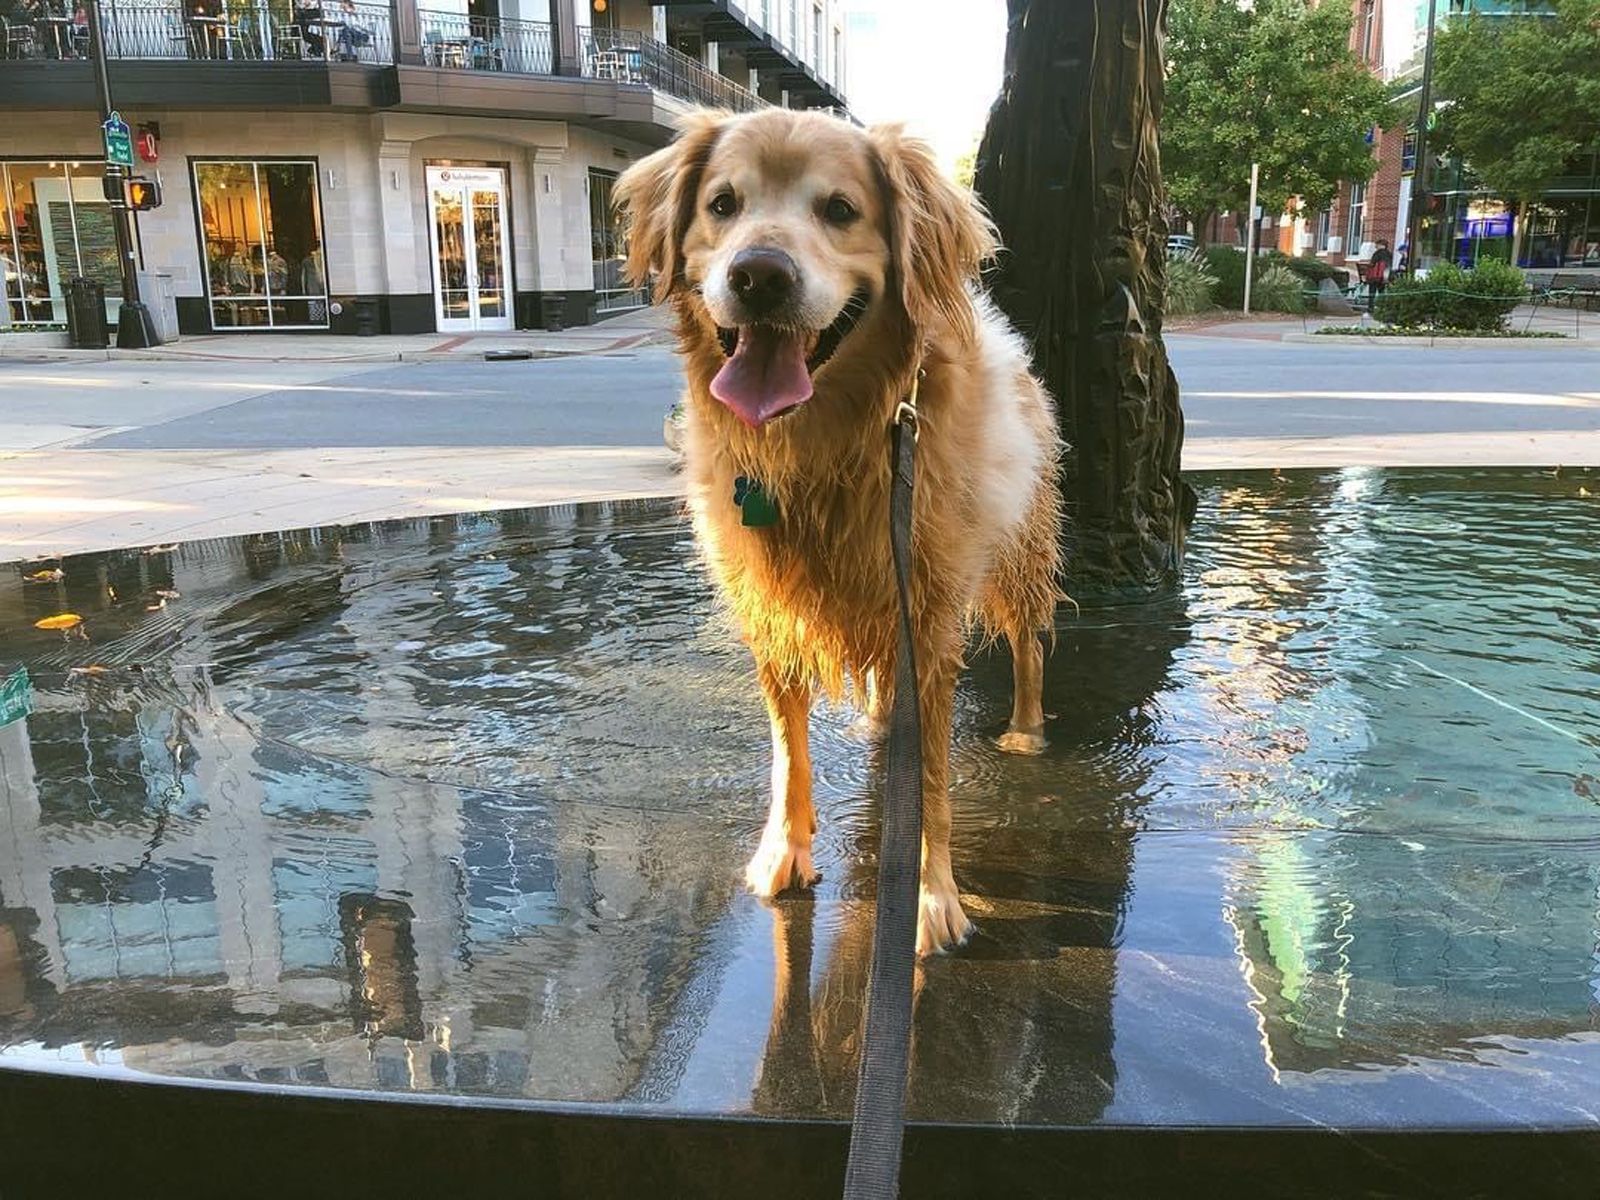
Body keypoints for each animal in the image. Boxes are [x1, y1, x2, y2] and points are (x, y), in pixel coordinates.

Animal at [614, 110, 1062, 960]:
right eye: (722, 204)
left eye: (841, 210)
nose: (759, 276)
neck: (824, 443)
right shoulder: (772, 611)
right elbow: (789, 754)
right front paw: (783, 853)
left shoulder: (931, 617)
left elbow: (931, 781)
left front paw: (930, 896)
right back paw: (881, 721)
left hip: (1016, 555)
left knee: (1028, 645)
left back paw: (1025, 730)